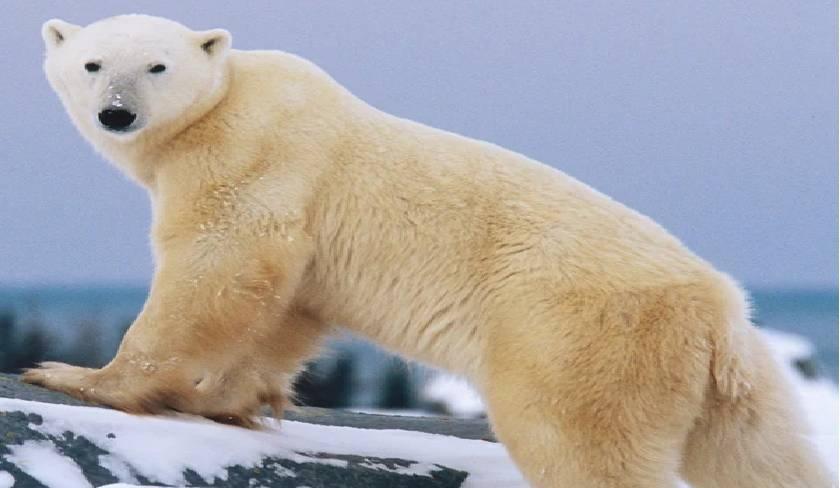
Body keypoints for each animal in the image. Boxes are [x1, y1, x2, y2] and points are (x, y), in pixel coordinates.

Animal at [26, 15, 832, 488]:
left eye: (156, 67)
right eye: (93, 64)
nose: (117, 113)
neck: (227, 102)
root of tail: (719, 313)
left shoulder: (255, 156)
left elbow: (220, 267)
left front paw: (82, 376)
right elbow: (289, 309)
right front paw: (229, 399)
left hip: (582, 340)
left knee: (579, 446)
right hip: (737, 385)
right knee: (762, 459)